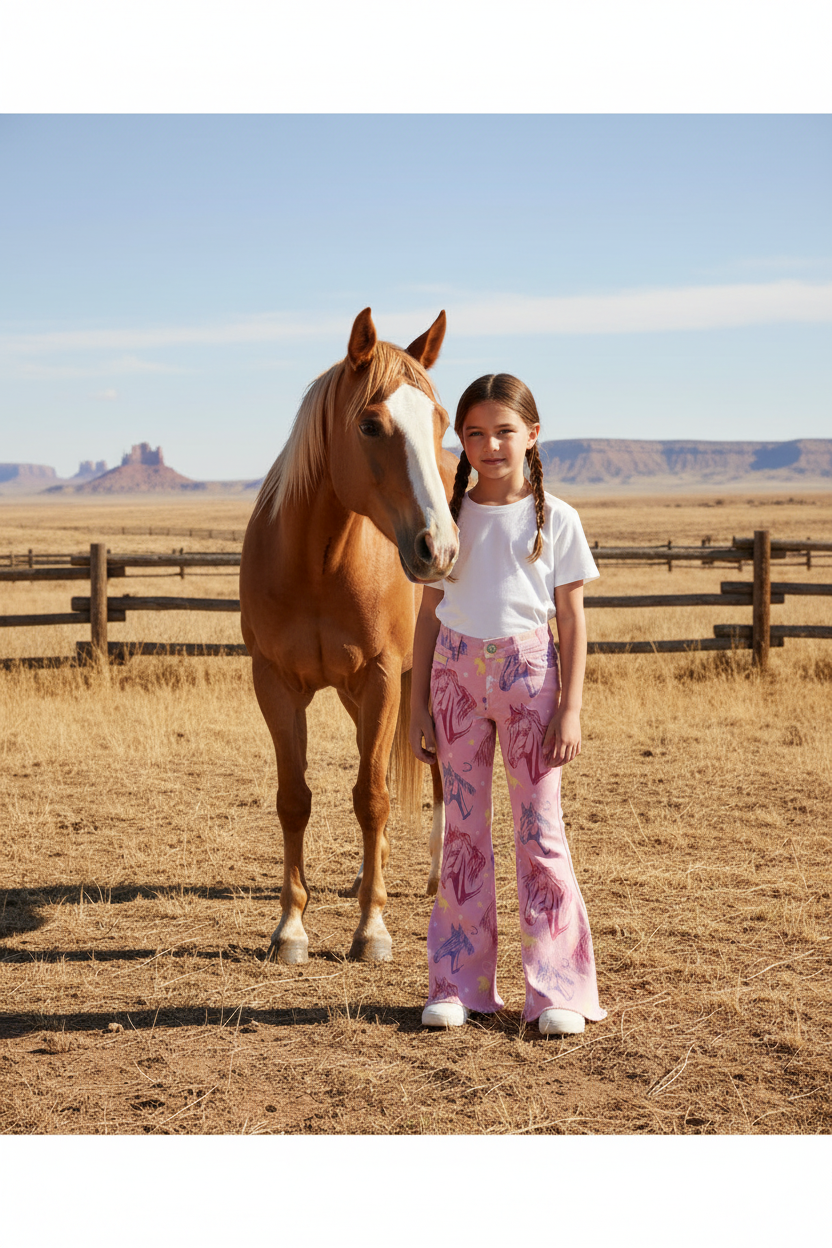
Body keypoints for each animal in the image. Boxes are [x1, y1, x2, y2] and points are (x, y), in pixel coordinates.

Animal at [240, 308, 459, 963]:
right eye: (369, 424)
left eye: (441, 420)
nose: (439, 547)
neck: (318, 563)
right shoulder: (276, 683)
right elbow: (295, 798)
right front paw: (290, 927)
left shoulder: (384, 676)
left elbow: (372, 799)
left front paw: (372, 928)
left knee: (437, 773)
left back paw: (435, 874)